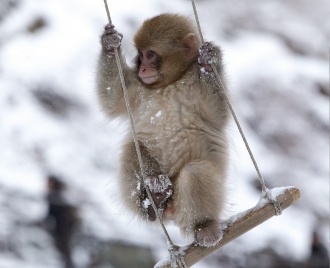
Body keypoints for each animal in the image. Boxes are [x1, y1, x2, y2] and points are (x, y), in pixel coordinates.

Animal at [96, 13, 228, 246]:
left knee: (195, 172)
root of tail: (171, 212)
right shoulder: (138, 88)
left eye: (150, 55)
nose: (143, 69)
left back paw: (204, 226)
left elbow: (218, 115)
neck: (170, 82)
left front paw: (209, 61)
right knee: (133, 148)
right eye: (140, 55)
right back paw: (154, 199)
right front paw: (110, 44)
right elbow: (112, 99)